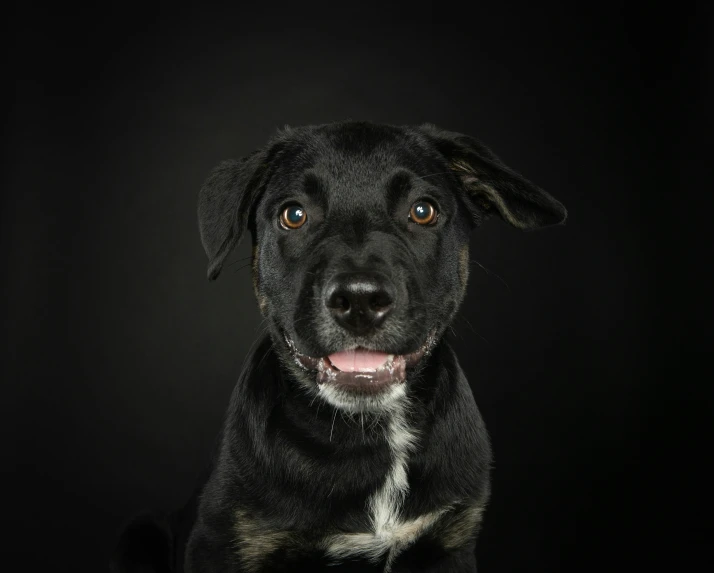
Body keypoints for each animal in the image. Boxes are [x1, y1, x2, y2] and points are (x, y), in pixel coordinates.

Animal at [111, 118, 564, 568]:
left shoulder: (451, 542)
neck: (367, 433)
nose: (360, 300)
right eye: (294, 215)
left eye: (423, 211)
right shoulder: (221, 543)